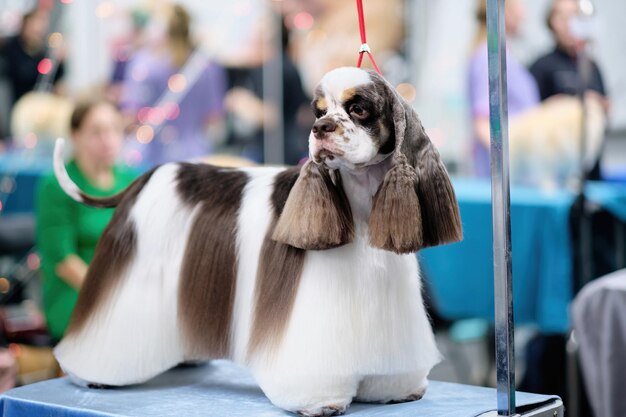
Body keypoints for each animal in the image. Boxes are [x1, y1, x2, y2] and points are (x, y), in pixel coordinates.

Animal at [53, 66, 460, 414]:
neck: (359, 198)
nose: (321, 127)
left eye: (359, 107)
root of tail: (148, 176)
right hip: (135, 276)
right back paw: (92, 374)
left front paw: (393, 389)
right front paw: (321, 402)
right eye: (319, 110)